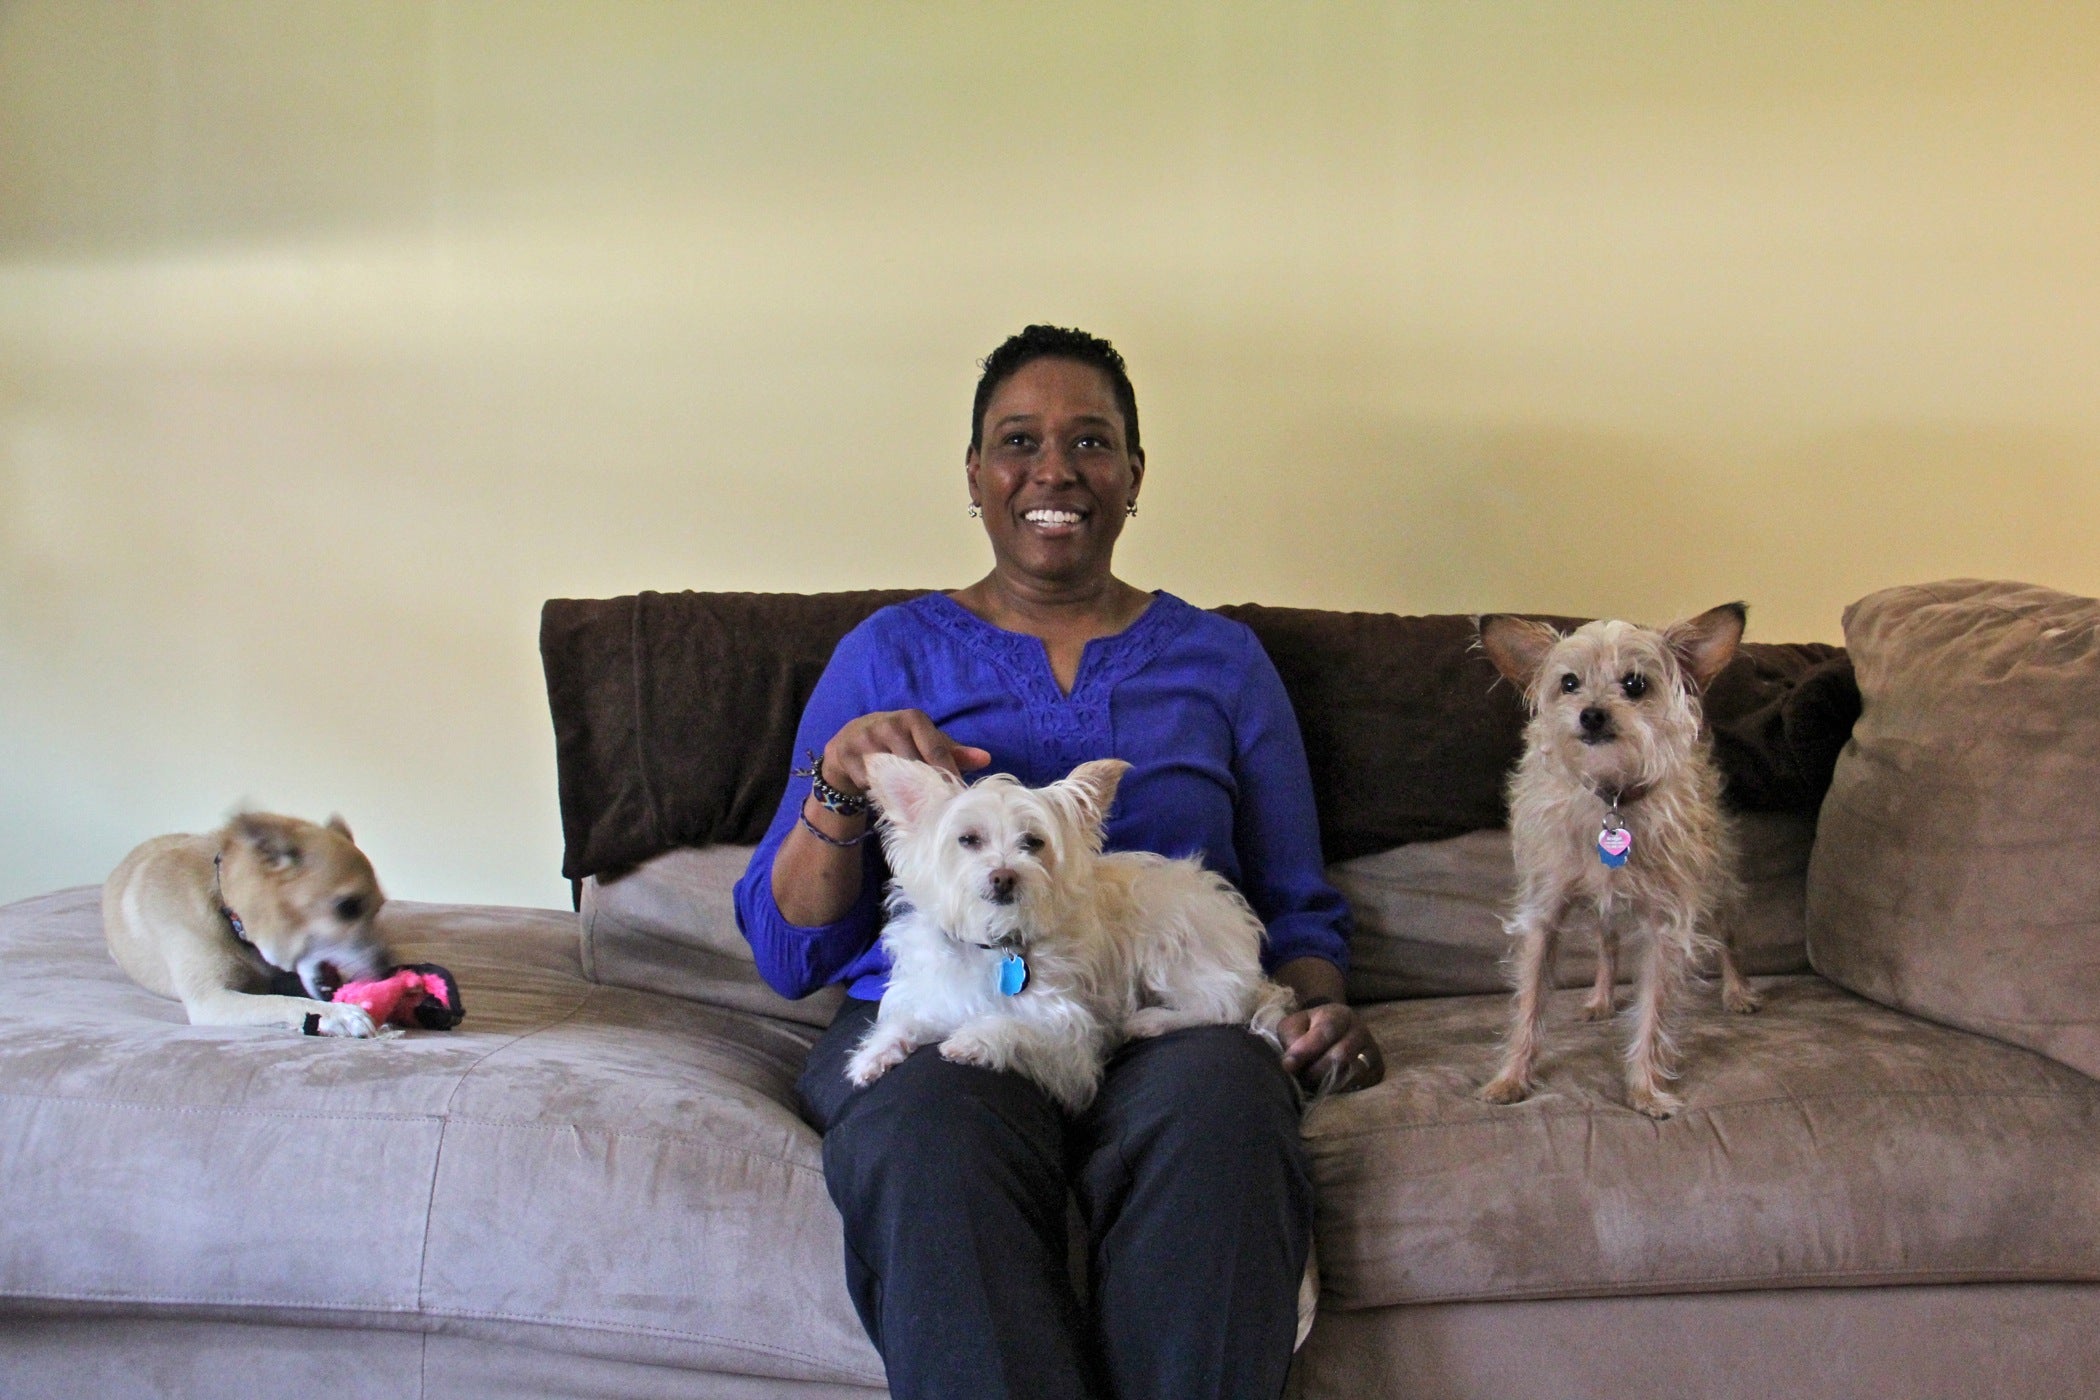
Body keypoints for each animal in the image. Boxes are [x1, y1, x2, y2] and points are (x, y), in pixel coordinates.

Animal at [105, 810, 394, 1041]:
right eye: (348, 907)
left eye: (380, 908)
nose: (387, 973)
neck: (228, 906)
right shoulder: (211, 999)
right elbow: (283, 1002)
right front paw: (340, 1014)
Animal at [844, 755, 1285, 1116]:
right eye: (967, 839)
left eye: (1033, 842)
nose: (1003, 876)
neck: (995, 943)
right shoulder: (937, 996)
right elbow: (908, 1020)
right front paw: (874, 1053)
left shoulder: (1071, 1047)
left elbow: (1016, 1027)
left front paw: (974, 1039)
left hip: (1167, 941)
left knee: (1225, 1003)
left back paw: (1152, 1020)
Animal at [1478, 604, 1755, 1116]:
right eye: (1568, 682)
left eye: (1635, 684)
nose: (1591, 714)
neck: (1611, 796)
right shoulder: (1543, 915)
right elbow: (1529, 1003)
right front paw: (1511, 1077)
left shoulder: (1666, 926)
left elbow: (1653, 1014)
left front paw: (1645, 1088)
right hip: (1601, 905)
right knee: (1607, 943)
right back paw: (1601, 997)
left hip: (1718, 880)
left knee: (1729, 934)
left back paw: (1737, 991)